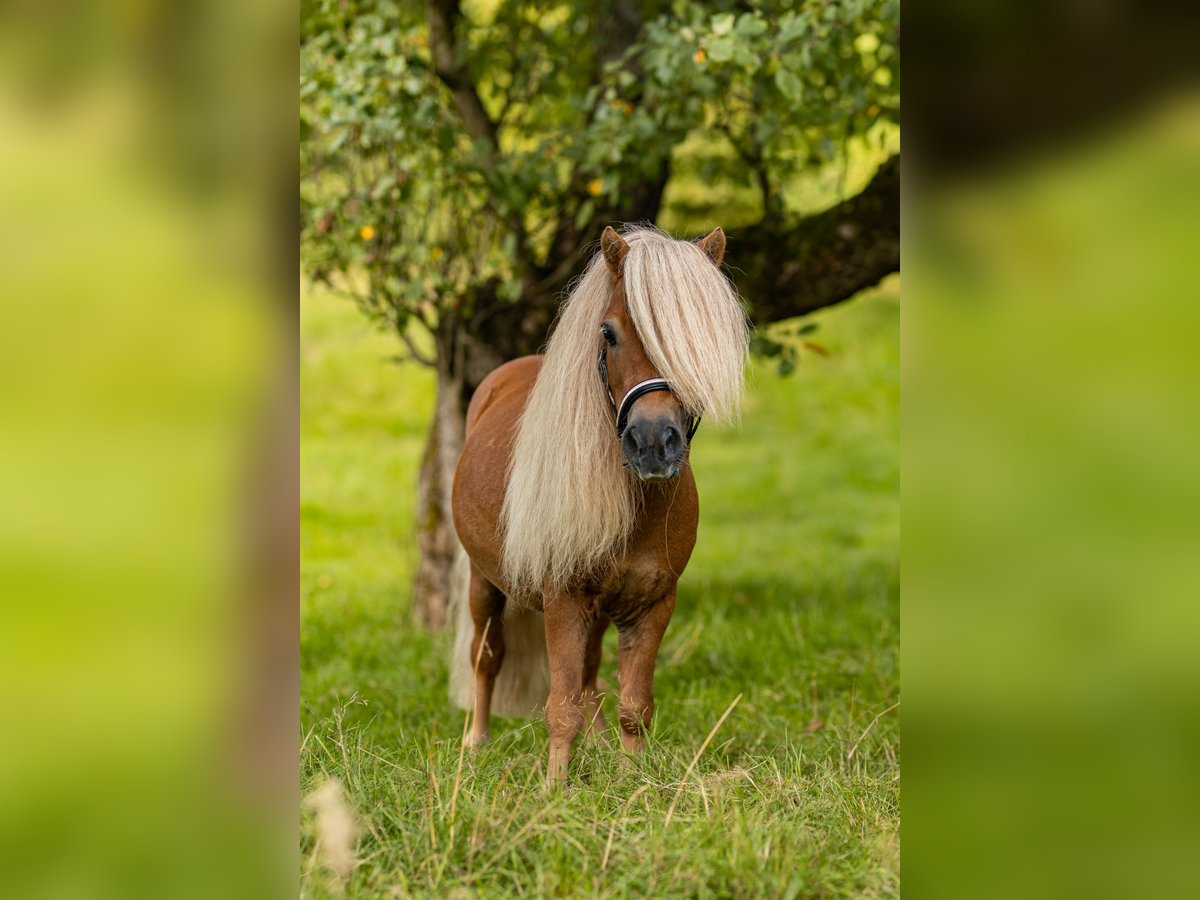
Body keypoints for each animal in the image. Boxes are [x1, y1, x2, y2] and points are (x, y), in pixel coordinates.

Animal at [451, 226, 748, 787]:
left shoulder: (652, 604)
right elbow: (560, 706)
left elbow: (632, 704)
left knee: (589, 679)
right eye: (608, 333)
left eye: (699, 338)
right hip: (485, 584)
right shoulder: (564, 601)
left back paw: (600, 747)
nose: (652, 442)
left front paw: (632, 781)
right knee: (487, 658)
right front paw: (554, 790)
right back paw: (475, 744)